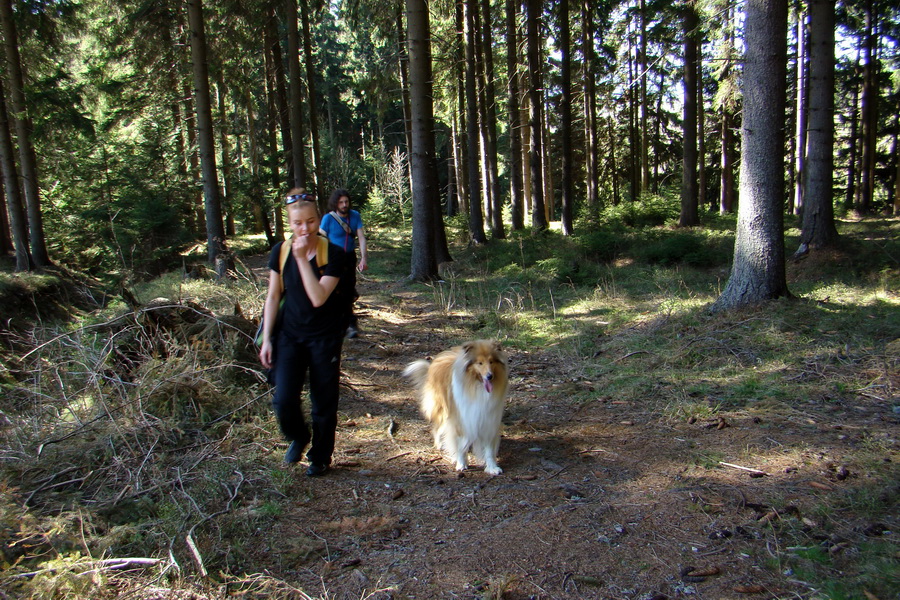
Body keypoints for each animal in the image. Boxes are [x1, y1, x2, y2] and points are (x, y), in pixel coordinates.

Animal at [404, 340, 510, 476]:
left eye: (491, 362)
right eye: (480, 363)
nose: (489, 376)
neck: (476, 387)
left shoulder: (489, 420)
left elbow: (489, 449)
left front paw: (492, 467)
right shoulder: (460, 420)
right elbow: (460, 445)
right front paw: (461, 463)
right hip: (443, 411)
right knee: (437, 428)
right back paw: (440, 445)